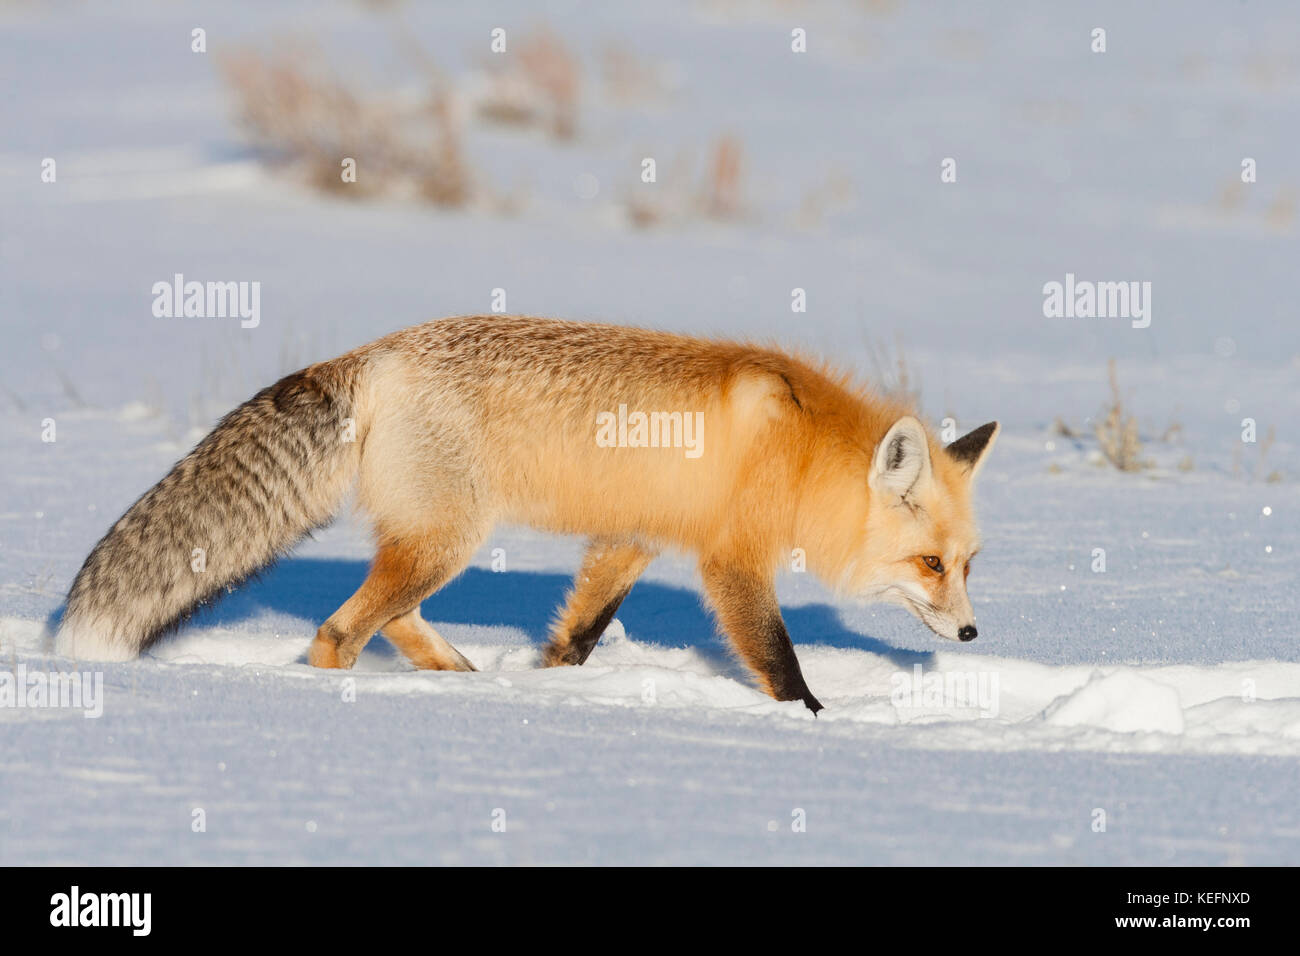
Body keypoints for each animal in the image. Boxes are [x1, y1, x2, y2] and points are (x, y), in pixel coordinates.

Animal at [55, 317, 998, 712]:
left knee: (384, 619)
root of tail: (374, 352)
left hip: (429, 544)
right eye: (930, 564)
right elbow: (779, 661)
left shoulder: (630, 538)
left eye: (969, 564)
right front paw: (815, 725)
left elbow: (577, 634)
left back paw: (467, 679)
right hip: (447, 540)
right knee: (339, 631)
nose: (972, 635)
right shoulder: (730, 561)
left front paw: (553, 685)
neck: (800, 448)